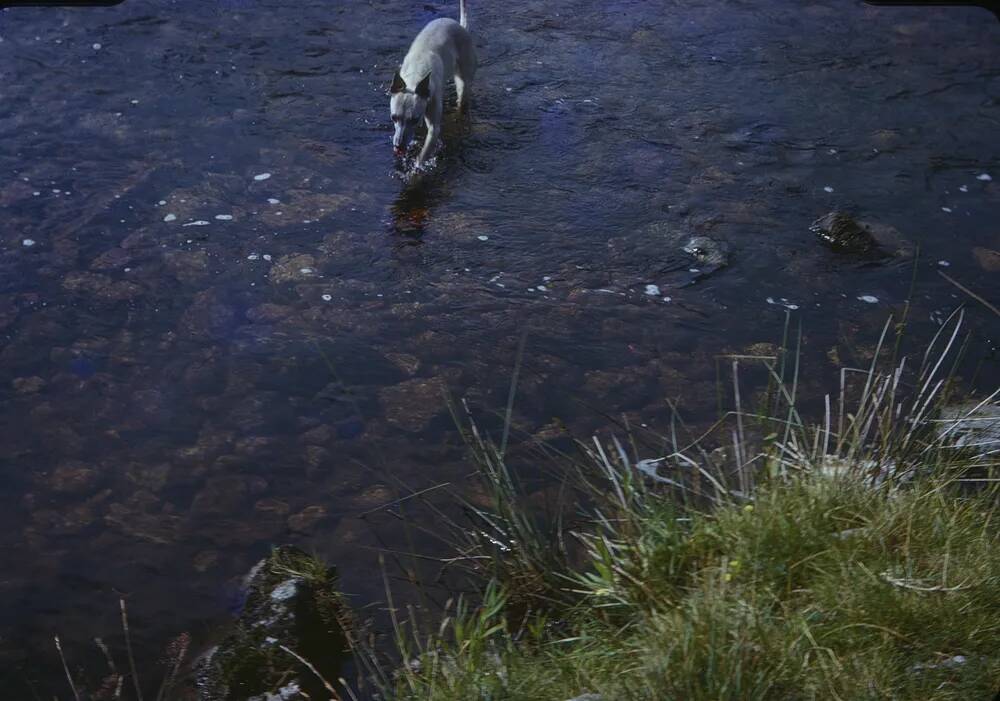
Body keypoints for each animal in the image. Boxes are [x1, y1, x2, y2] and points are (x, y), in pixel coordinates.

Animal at [390, 0, 476, 168]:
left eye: (414, 119)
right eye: (393, 117)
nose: (398, 146)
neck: (415, 77)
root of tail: (460, 26)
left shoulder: (434, 127)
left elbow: (425, 152)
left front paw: (417, 167)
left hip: (463, 78)